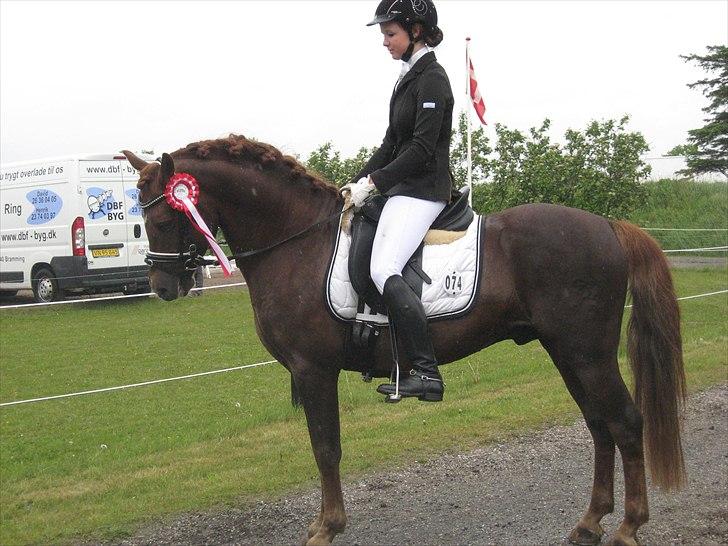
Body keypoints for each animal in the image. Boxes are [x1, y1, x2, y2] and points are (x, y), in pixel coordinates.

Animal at [125, 135, 688, 544]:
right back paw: (590, 522)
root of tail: (608, 226)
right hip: (568, 353)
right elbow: (324, 448)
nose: (163, 286)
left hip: (587, 354)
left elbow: (325, 447)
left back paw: (628, 526)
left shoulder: (314, 369)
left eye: (162, 216)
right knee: (599, 426)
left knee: (625, 422)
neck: (296, 242)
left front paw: (327, 527)